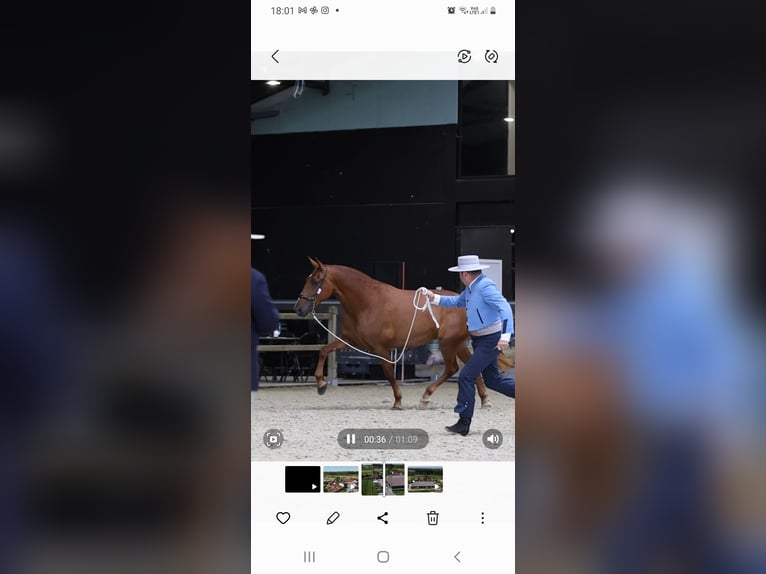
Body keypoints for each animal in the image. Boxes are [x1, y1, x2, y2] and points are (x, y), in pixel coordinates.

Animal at [293, 258, 511, 410]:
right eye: (307, 279)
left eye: (316, 281)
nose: (298, 308)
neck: (367, 302)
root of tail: (466, 304)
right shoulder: (348, 341)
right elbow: (323, 350)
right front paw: (321, 384)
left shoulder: (381, 348)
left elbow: (389, 374)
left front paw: (398, 401)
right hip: (456, 344)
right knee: (473, 369)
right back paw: (484, 400)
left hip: (447, 343)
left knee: (452, 368)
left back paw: (426, 397)